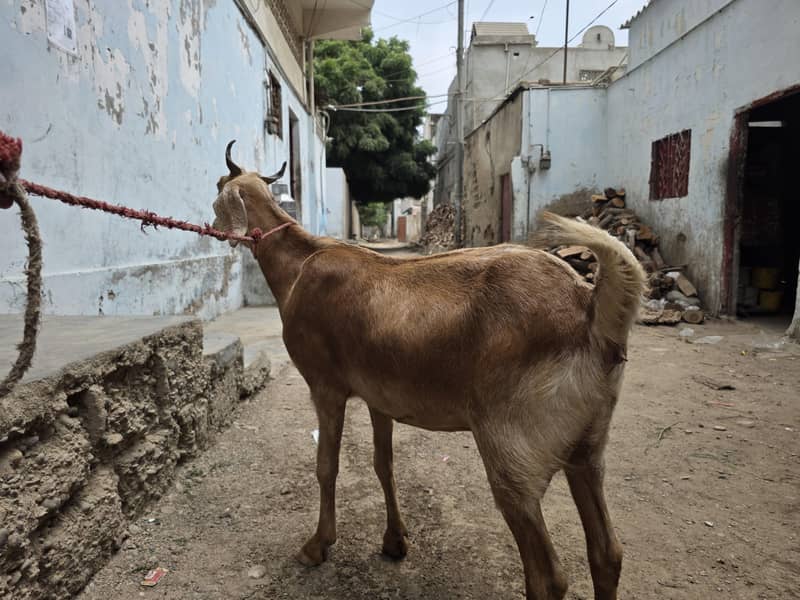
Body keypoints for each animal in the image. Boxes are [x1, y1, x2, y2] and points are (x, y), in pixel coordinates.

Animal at [212, 141, 646, 600]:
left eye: (220, 186)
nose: (213, 226)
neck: (299, 267)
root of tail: (590, 310)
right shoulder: (379, 394)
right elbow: (383, 464)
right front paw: (394, 541)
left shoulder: (324, 385)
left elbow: (325, 465)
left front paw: (317, 545)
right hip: (588, 444)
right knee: (607, 552)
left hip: (515, 446)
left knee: (546, 576)